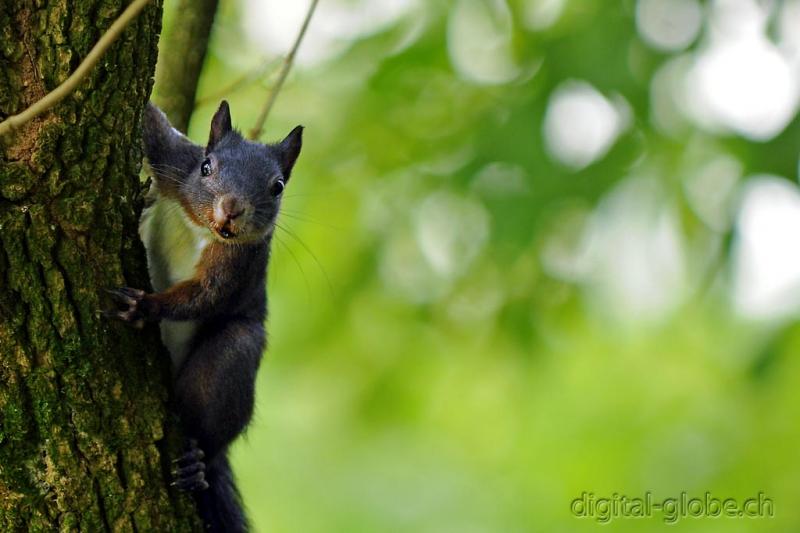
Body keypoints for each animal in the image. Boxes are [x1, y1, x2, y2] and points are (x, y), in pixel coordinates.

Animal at [108, 101, 302, 532]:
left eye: (277, 187)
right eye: (206, 166)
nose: (232, 210)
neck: (202, 226)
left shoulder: (239, 263)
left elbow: (203, 297)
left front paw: (146, 306)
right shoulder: (174, 161)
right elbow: (154, 128)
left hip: (229, 359)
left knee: (211, 434)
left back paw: (198, 463)